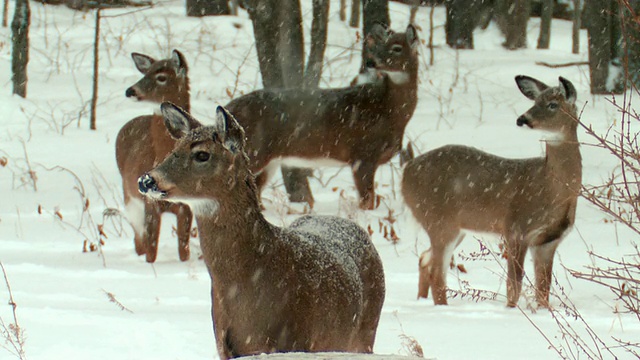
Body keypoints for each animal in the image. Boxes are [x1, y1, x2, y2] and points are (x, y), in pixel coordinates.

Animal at [116, 49, 192, 262]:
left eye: (161, 77)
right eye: (145, 73)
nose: (130, 91)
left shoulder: (187, 206)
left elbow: (184, 251)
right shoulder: (149, 202)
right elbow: (151, 251)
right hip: (130, 198)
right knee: (138, 240)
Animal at [139, 102, 384, 358]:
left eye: (202, 154)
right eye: (175, 148)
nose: (147, 180)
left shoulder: (296, 340)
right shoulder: (224, 345)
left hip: (365, 335)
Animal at [225, 23, 420, 210]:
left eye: (397, 48)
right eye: (380, 45)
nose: (370, 62)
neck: (390, 112)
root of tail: (227, 107)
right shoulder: (362, 155)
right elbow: (367, 202)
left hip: (269, 159)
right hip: (254, 149)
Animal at [402, 76, 584, 306]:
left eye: (553, 104)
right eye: (535, 101)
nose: (522, 119)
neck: (552, 190)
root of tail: (406, 170)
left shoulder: (548, 241)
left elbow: (543, 291)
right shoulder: (516, 228)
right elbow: (514, 285)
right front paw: (511, 310)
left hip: (455, 227)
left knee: (424, 260)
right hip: (439, 221)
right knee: (437, 272)